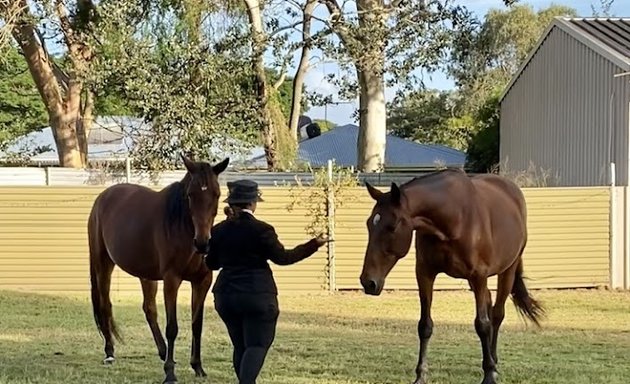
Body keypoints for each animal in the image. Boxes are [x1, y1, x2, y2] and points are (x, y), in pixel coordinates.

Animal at [87, 154, 228, 384]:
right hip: (103, 264)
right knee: (105, 304)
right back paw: (110, 352)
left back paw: (162, 352)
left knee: (149, 309)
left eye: (216, 194)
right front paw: (170, 373)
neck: (181, 228)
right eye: (190, 195)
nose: (202, 243)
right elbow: (172, 327)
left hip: (146, 274)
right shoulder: (171, 280)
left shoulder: (202, 281)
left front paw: (198, 367)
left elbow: (196, 325)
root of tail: (103, 197)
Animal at [360, 170, 548, 384]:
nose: (368, 282)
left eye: (391, 227)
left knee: (497, 314)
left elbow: (482, 324)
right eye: (369, 224)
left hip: (507, 271)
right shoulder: (425, 273)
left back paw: (493, 364)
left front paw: (489, 375)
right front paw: (421, 375)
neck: (454, 217)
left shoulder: (479, 276)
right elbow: (425, 325)